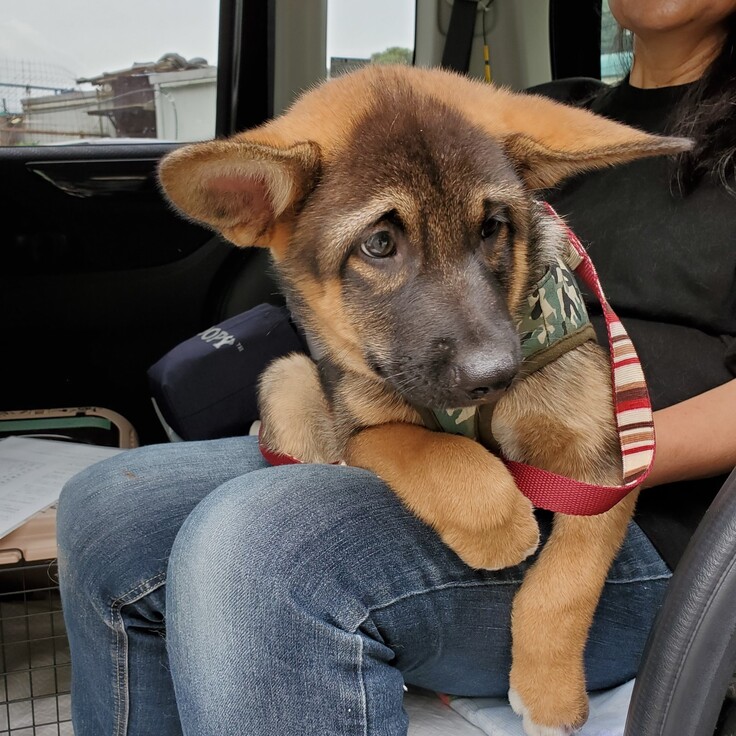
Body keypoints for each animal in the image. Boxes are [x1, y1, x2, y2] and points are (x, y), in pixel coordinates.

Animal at [157, 64, 688, 736]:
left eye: (493, 227)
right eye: (379, 244)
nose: (497, 376)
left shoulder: (603, 464)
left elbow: (567, 581)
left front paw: (549, 694)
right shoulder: (363, 429)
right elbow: (433, 451)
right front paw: (499, 523)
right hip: (288, 378)